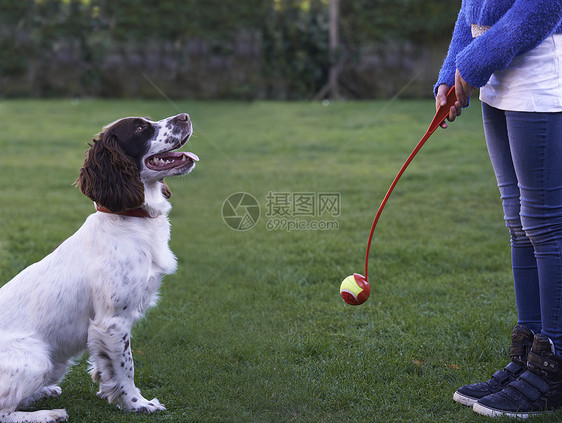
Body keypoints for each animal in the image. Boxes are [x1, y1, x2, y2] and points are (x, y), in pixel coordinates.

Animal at [0, 113, 197, 423]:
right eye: (140, 127)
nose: (185, 116)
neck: (128, 219)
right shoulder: (113, 321)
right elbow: (126, 367)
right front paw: (137, 403)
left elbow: (107, 366)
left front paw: (109, 392)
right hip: (37, 358)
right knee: (4, 412)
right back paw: (49, 414)